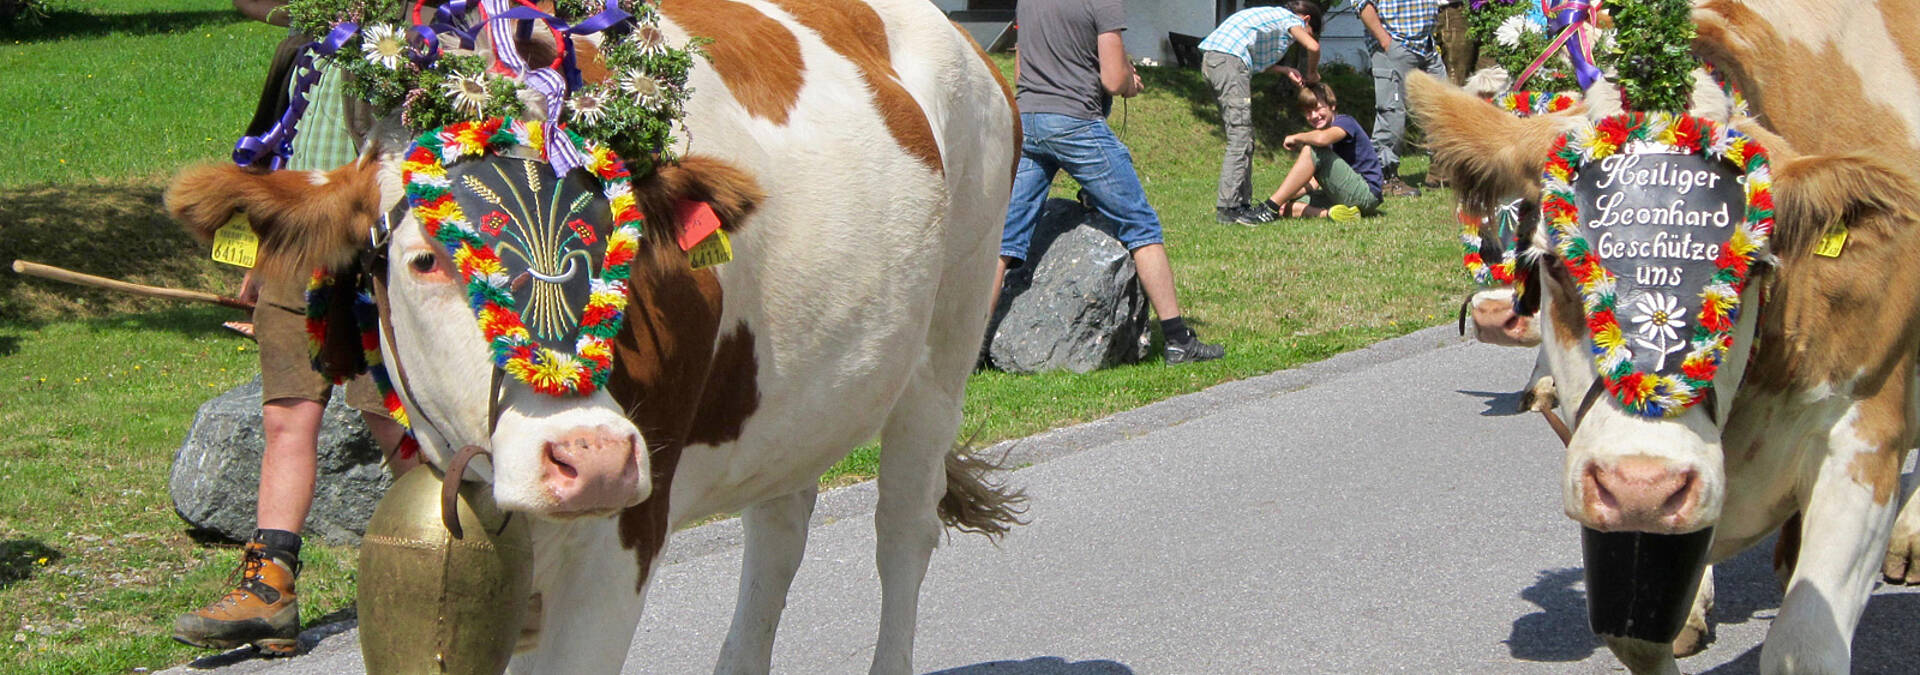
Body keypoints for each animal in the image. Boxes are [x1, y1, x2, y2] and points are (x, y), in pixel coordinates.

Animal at [168, 2, 1021, 671]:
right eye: (425, 258)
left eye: (625, 240)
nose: (594, 457)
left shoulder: (625, 530)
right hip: (795, 398)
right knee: (778, 534)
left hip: (944, 349)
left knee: (902, 533)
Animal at [1420, 2, 1920, 671]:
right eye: (1555, 262)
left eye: (1752, 266)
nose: (1645, 484)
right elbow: (1633, 631)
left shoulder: (1864, 435)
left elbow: (1804, 643)